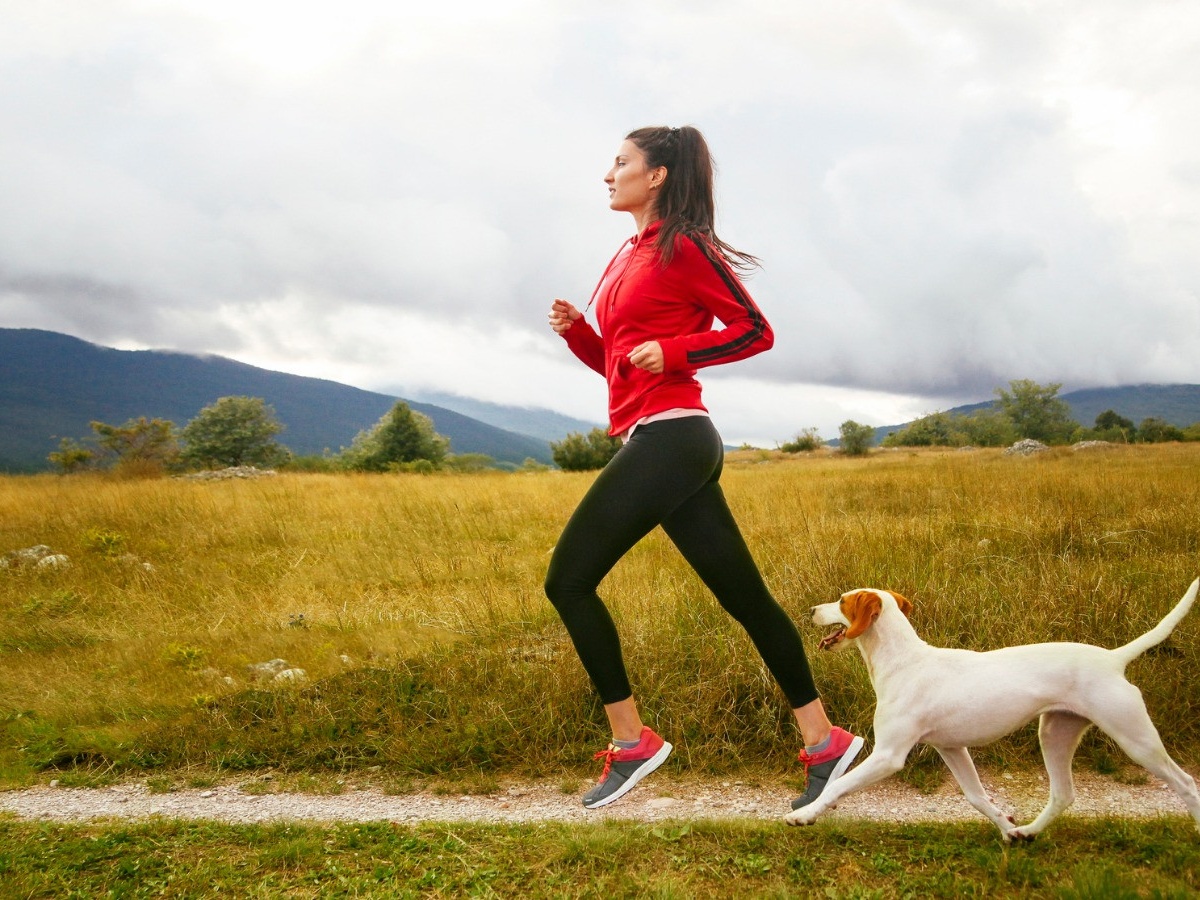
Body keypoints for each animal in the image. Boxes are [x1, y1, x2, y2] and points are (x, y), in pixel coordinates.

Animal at [787, 580, 1200, 844]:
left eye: (842, 601)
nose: (810, 610)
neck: (904, 662)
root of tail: (1113, 659)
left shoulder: (889, 755)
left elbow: (838, 783)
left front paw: (805, 815)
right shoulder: (952, 749)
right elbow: (977, 797)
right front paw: (1006, 827)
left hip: (1136, 739)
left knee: (1186, 783)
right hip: (1055, 733)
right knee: (1063, 795)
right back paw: (1029, 832)